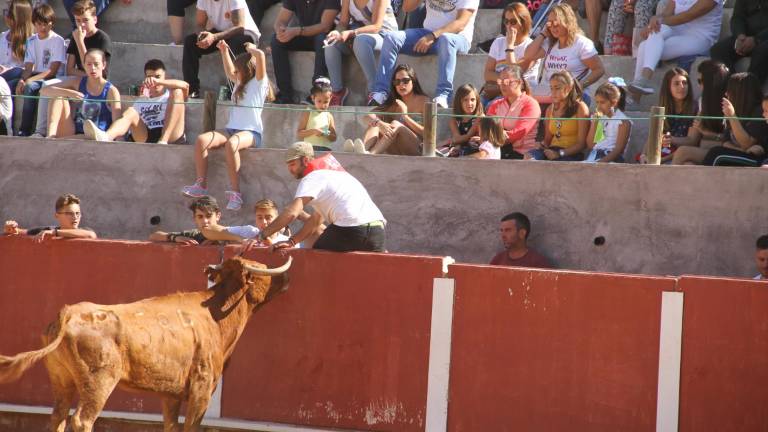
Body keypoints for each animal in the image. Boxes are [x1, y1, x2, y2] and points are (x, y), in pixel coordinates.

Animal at [0, 256, 292, 432]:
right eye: (264, 271)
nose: (286, 278)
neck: (215, 314)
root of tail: (69, 312)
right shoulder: (202, 386)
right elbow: (192, 426)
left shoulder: (171, 393)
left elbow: (172, 426)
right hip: (99, 381)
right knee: (82, 419)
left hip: (61, 379)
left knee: (58, 416)